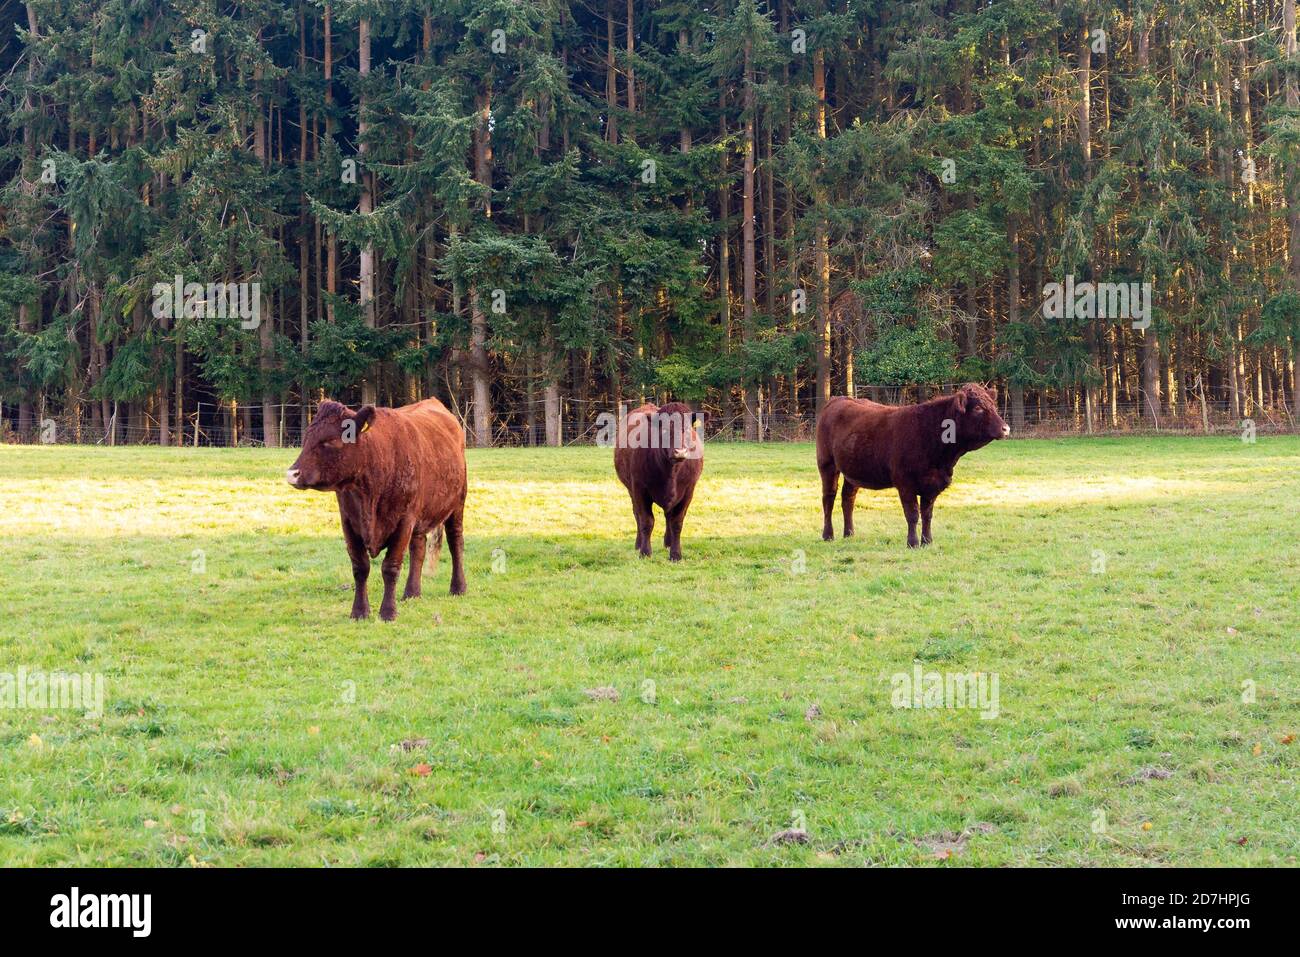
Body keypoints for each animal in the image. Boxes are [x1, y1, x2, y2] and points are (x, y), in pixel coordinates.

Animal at [288, 395, 467, 621]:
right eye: (306, 439)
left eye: (330, 441)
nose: (292, 474)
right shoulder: (348, 522)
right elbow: (360, 567)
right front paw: (359, 611)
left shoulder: (404, 520)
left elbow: (390, 567)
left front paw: (388, 612)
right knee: (418, 548)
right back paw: (411, 593)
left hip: (457, 504)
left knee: (455, 542)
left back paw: (458, 588)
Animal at [613, 403, 707, 561]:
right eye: (664, 429)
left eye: (688, 429)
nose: (680, 452)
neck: (671, 472)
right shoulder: (639, 489)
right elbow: (646, 520)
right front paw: (645, 552)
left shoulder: (688, 491)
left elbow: (677, 522)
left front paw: (675, 554)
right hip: (631, 490)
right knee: (637, 515)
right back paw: (638, 544)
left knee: (668, 516)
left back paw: (668, 543)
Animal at [816, 382, 1008, 546]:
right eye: (978, 408)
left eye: (993, 406)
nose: (1006, 428)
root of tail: (838, 399)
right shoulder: (905, 483)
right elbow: (913, 514)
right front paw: (913, 543)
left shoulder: (932, 484)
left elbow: (927, 514)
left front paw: (927, 541)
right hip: (827, 464)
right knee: (828, 498)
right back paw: (828, 535)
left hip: (853, 470)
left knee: (848, 498)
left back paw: (849, 533)